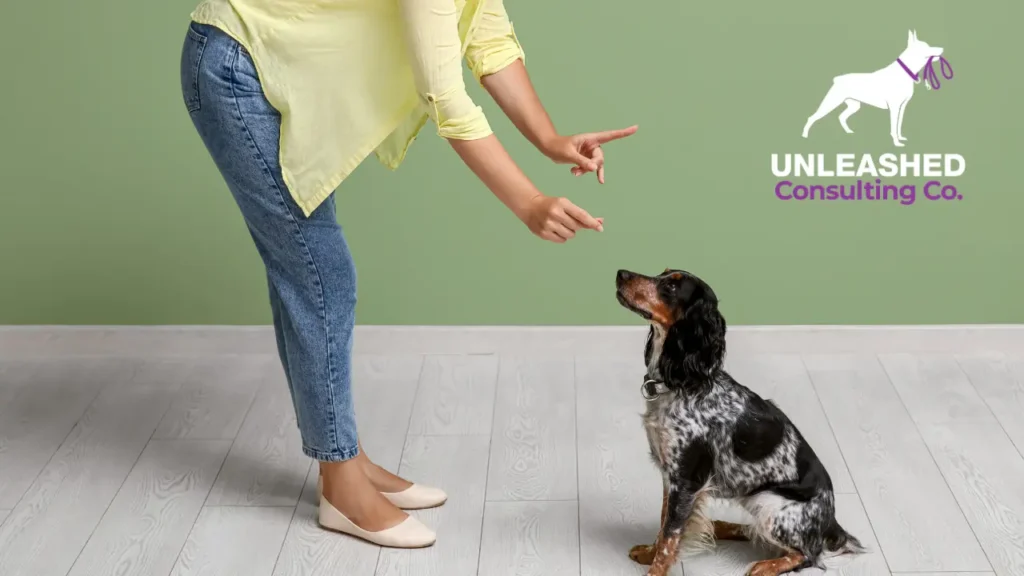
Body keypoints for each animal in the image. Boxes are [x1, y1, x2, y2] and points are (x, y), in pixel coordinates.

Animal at [614, 268, 864, 573]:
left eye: (671, 286)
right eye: (662, 274)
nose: (621, 273)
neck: (683, 384)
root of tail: (831, 524)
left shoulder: (686, 480)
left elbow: (670, 536)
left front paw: (655, 569)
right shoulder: (669, 475)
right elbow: (664, 526)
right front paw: (649, 552)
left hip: (771, 505)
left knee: (809, 555)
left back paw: (764, 566)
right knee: (752, 531)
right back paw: (720, 526)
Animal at [798, 29, 942, 146]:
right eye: (926, 47)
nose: (942, 49)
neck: (904, 72)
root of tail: (837, 79)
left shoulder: (902, 107)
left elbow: (899, 125)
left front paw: (900, 138)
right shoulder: (894, 107)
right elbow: (893, 127)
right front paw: (896, 142)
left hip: (854, 105)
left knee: (841, 117)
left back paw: (848, 131)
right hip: (831, 102)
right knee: (812, 117)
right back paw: (804, 135)